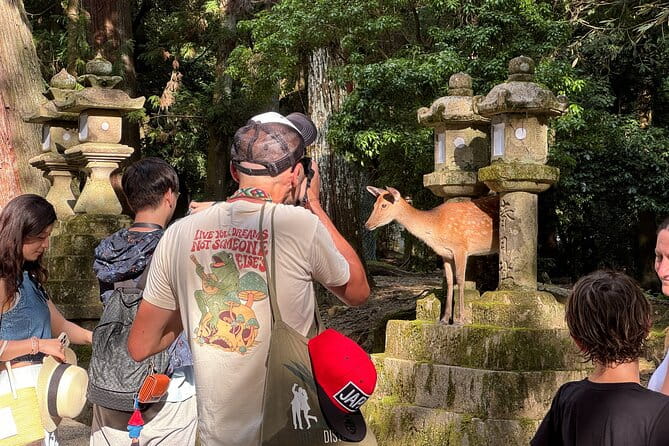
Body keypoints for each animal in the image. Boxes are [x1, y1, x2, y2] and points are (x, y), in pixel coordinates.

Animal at [365, 186, 499, 325]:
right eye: (374, 205)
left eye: (384, 205)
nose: (367, 225)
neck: (436, 227)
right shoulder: (446, 254)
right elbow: (450, 281)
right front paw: (445, 319)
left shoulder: (461, 248)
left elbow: (460, 279)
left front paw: (461, 319)